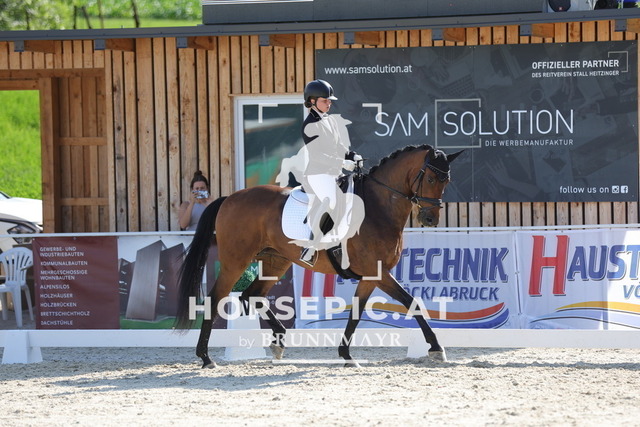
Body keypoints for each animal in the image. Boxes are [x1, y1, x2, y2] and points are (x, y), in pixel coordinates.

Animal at [175, 144, 463, 368]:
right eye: (430, 179)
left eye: (447, 181)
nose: (430, 219)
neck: (377, 208)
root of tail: (229, 198)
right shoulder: (377, 272)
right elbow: (412, 303)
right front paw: (436, 349)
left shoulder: (371, 276)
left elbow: (357, 312)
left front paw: (346, 355)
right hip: (236, 261)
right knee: (215, 299)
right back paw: (206, 357)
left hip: (276, 261)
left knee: (252, 294)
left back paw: (279, 340)